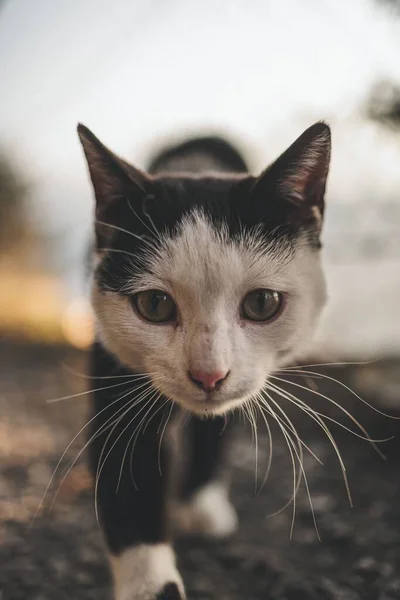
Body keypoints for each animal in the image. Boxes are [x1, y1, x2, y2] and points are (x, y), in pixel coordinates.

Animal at [76, 119, 330, 596]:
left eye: (262, 303)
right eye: (154, 305)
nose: (208, 374)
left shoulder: (246, 381)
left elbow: (221, 423)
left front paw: (199, 502)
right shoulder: (114, 369)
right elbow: (129, 483)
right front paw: (151, 583)